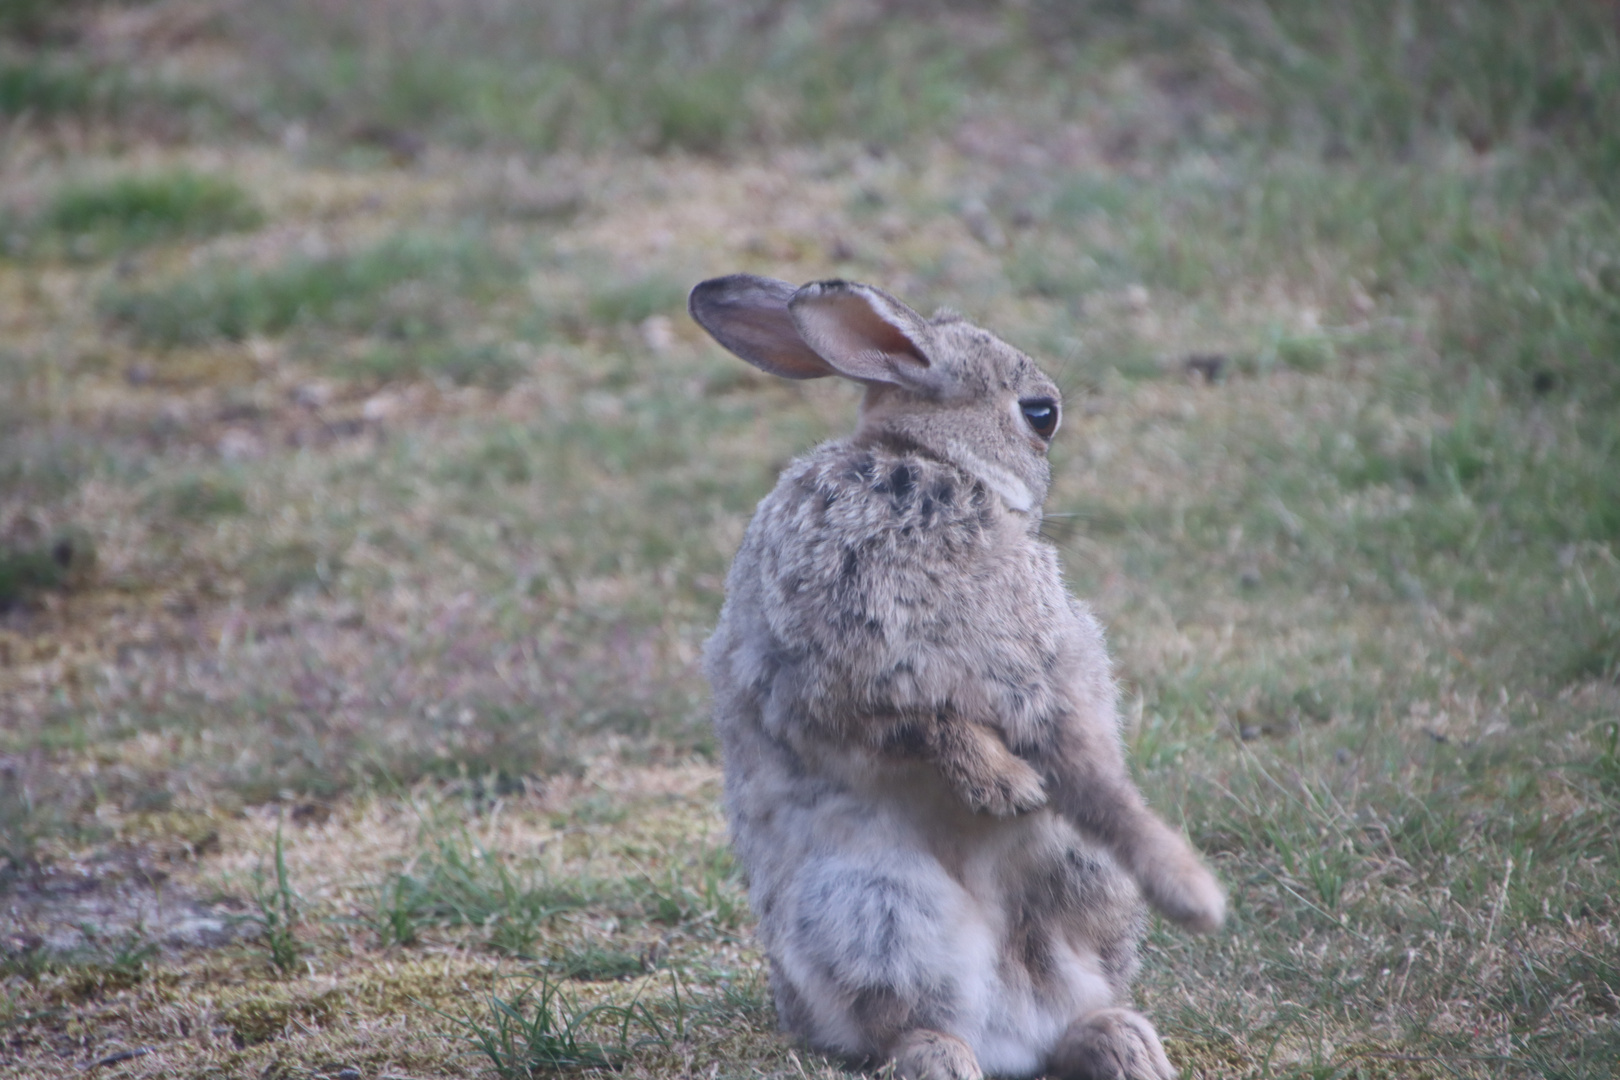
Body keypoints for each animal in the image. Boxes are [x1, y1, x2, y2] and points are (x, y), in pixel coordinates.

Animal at [690, 276, 1218, 1080]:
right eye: (1041, 413)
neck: (923, 462)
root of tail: (1011, 1033)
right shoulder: (842, 681)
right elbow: (924, 724)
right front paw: (1011, 789)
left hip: (1084, 883)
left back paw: (1123, 1046)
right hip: (874, 910)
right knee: (912, 1015)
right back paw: (947, 1055)